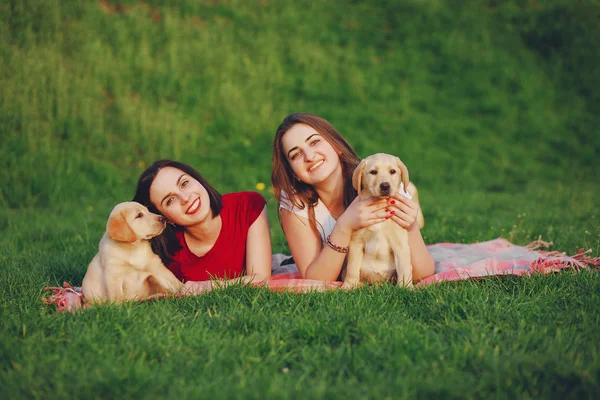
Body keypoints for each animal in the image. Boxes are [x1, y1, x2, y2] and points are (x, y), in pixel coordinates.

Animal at [342, 152, 422, 288]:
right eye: (373, 172)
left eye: (392, 171)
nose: (385, 185)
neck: (381, 204)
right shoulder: (356, 242)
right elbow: (352, 268)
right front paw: (348, 286)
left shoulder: (400, 244)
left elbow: (405, 268)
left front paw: (406, 288)